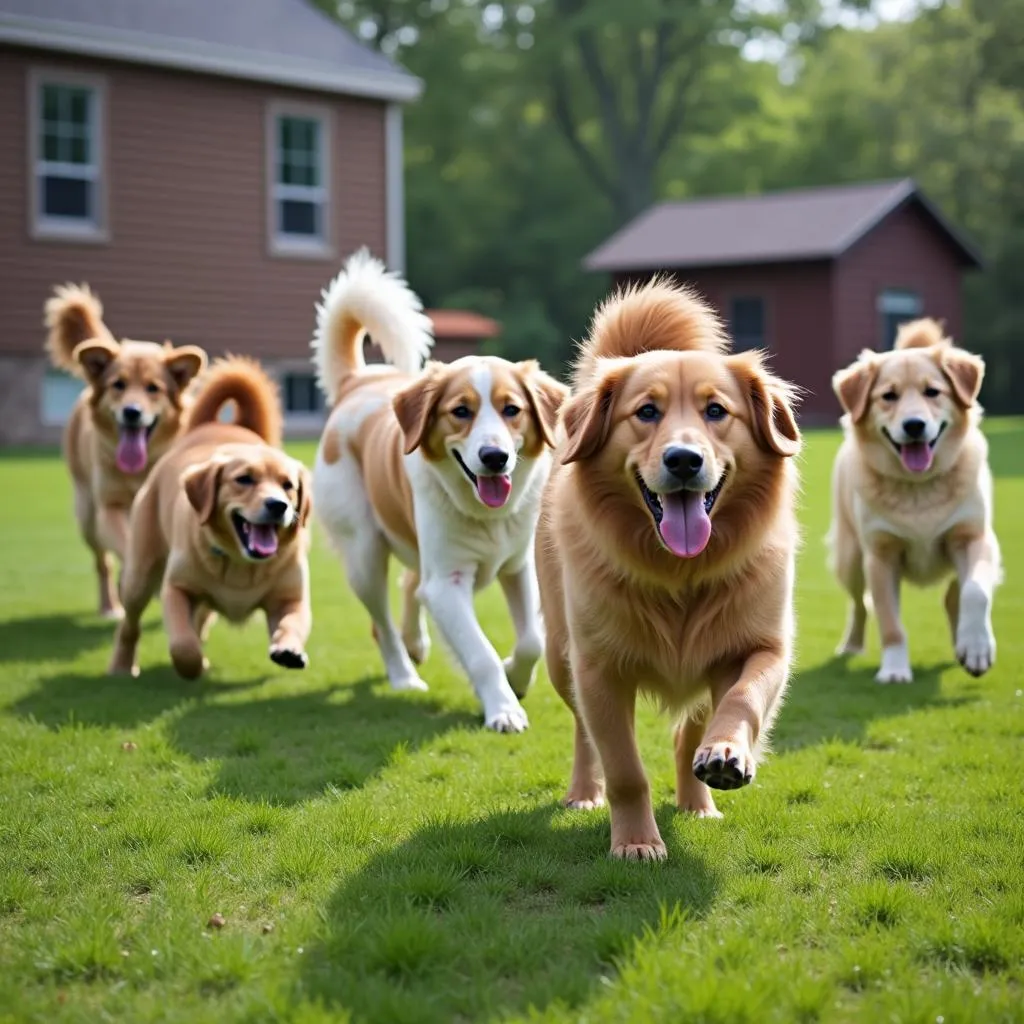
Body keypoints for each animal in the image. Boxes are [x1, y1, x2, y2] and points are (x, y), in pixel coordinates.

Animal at [45, 282, 207, 614]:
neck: (140, 470)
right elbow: (125, 546)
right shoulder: (110, 507)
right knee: (103, 562)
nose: (132, 412)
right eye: (118, 385)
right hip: (88, 515)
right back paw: (110, 604)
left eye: (153, 388)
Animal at [107, 356, 311, 684]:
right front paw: (192, 666)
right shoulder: (176, 589)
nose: (278, 505)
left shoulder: (290, 597)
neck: (241, 567)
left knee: (199, 620)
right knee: (130, 624)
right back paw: (121, 666)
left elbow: (290, 625)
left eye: (288, 485)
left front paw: (289, 650)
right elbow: (182, 644)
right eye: (244, 479)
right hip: (139, 575)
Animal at [309, 250, 569, 733]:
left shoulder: (518, 566)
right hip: (364, 554)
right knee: (382, 621)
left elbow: (531, 640)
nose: (494, 457)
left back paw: (416, 643)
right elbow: (480, 652)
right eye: (460, 412)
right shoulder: (447, 583)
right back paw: (403, 675)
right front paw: (503, 707)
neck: (487, 517)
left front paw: (515, 677)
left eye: (512, 410)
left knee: (412, 584)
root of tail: (358, 383)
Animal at [532, 276, 802, 860]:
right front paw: (636, 842)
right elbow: (625, 768)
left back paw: (699, 799)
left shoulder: (763, 647)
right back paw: (584, 792)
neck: (680, 575)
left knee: (688, 733)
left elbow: (743, 699)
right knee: (584, 734)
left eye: (716, 411)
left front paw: (726, 755)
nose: (683, 460)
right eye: (646, 412)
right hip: (561, 656)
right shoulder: (598, 669)